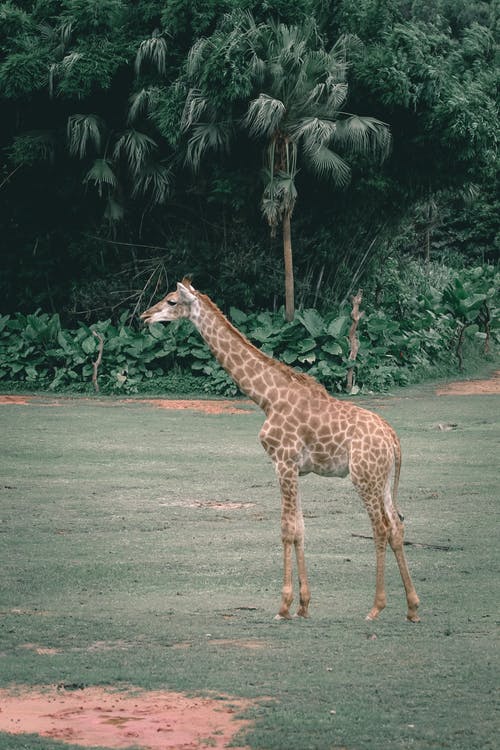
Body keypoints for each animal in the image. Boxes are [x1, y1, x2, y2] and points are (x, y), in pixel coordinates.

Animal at [142, 280, 422, 624]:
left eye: (171, 301)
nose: (145, 316)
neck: (266, 398)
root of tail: (394, 440)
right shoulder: (295, 469)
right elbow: (300, 528)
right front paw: (303, 605)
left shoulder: (283, 462)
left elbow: (287, 530)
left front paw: (284, 606)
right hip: (383, 480)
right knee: (397, 526)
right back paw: (412, 607)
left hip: (364, 477)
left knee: (380, 527)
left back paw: (375, 607)